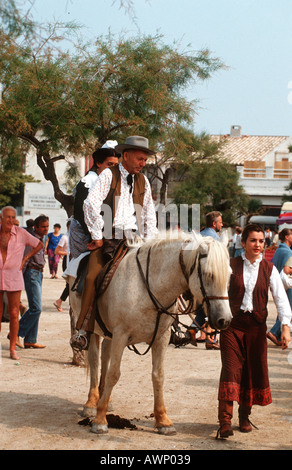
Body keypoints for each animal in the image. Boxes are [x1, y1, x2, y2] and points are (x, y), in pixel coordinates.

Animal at [81, 233, 232, 436]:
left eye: (229, 274)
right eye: (209, 275)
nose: (225, 320)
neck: (148, 288)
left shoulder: (162, 337)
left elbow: (158, 376)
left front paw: (163, 421)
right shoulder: (121, 335)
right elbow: (114, 373)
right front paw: (99, 420)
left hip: (108, 333)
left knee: (104, 357)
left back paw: (105, 399)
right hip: (92, 330)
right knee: (95, 361)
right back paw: (91, 403)